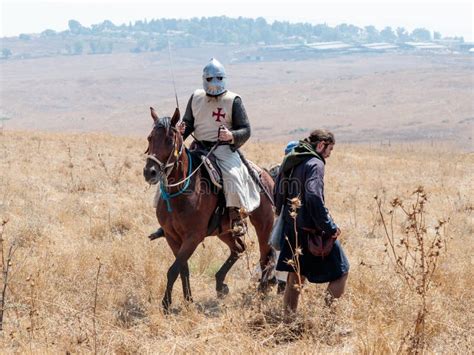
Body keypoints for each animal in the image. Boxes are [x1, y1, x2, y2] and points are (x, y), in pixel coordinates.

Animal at [143, 108, 276, 312]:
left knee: (265, 257)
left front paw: (166, 304)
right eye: (150, 138)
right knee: (238, 248)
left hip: (263, 225)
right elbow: (182, 268)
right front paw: (188, 300)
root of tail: (266, 174)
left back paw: (261, 291)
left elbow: (173, 270)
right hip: (224, 231)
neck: (181, 192)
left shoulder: (193, 237)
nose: (150, 172)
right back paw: (221, 284)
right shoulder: (172, 237)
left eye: (170, 140)